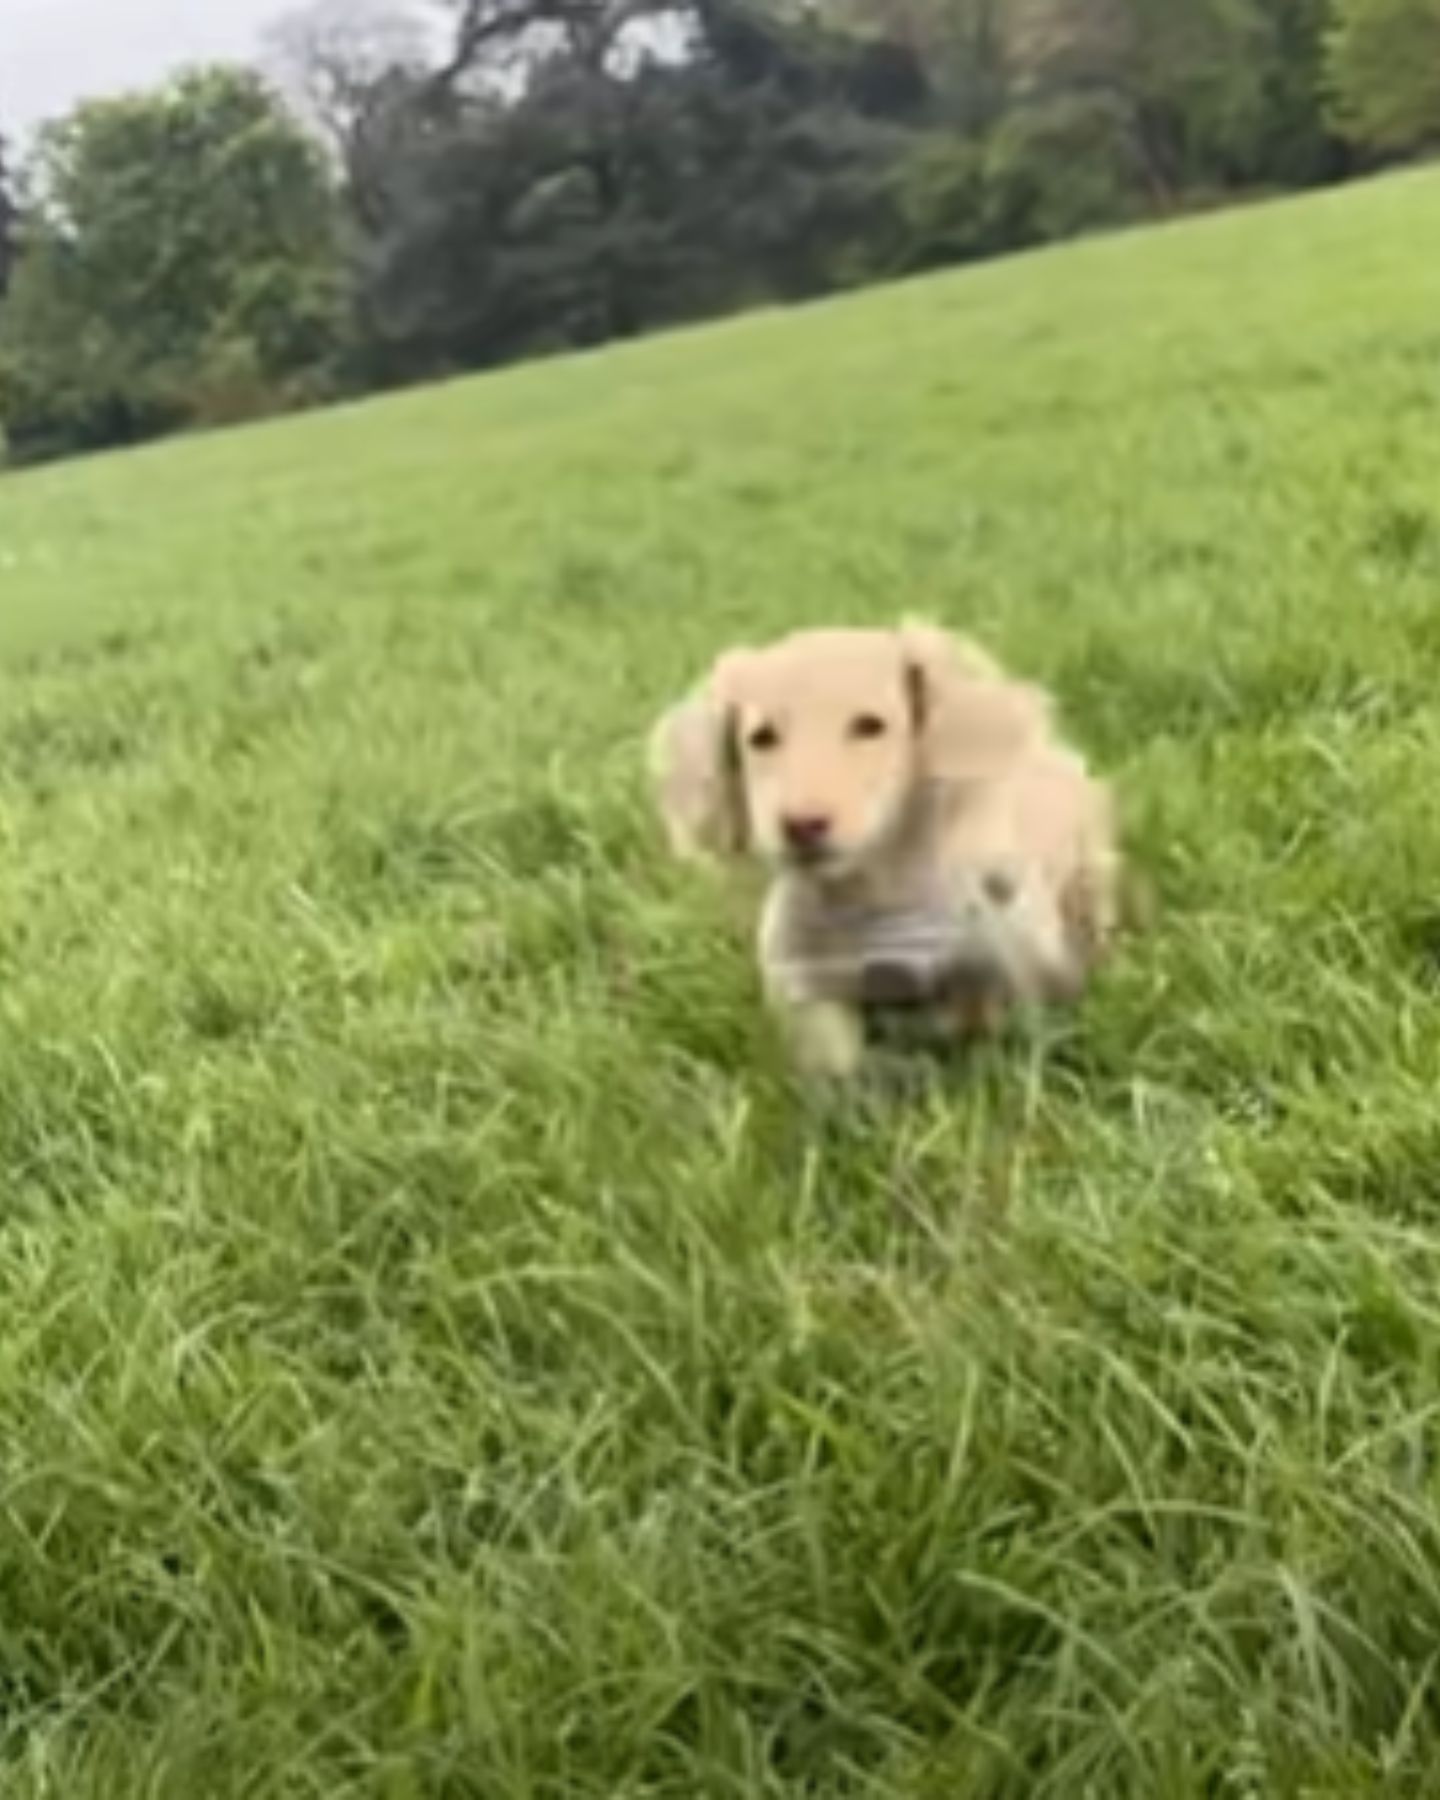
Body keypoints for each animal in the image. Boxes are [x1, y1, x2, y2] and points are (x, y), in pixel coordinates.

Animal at [648, 626, 1116, 1072]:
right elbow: (840, 1069)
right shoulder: (809, 990)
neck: (871, 892)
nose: (801, 826)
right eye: (761, 738)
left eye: (870, 726)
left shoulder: (1010, 963)